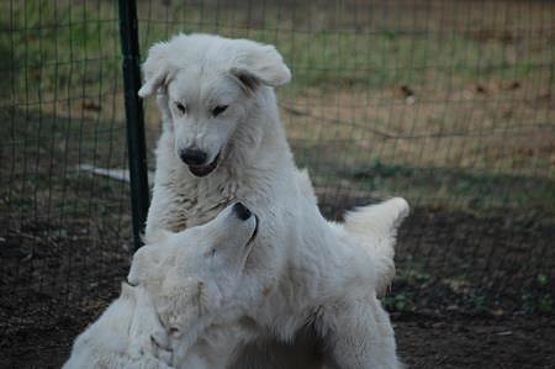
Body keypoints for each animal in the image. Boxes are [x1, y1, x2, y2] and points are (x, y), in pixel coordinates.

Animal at [139, 33, 408, 366]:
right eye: (180, 107)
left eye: (220, 109)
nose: (192, 154)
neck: (207, 188)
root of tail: (365, 259)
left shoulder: (260, 267)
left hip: (357, 351)